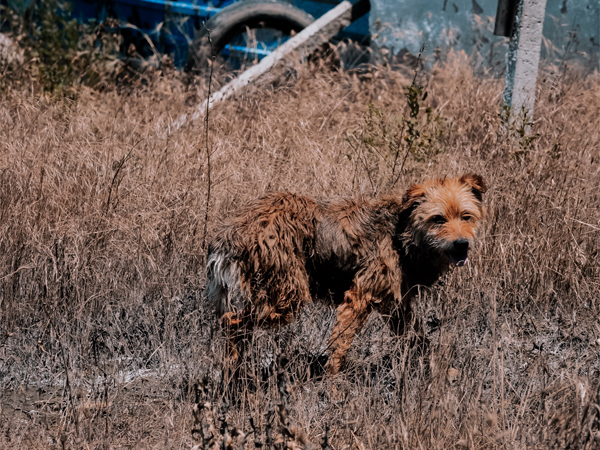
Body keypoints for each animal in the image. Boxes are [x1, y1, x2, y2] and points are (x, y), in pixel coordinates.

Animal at [204, 172, 486, 372]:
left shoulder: (396, 305)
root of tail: (233, 229)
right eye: (438, 219)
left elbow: (419, 339)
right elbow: (340, 344)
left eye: (466, 216)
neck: (404, 234)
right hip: (286, 298)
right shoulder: (359, 297)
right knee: (233, 321)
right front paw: (333, 385)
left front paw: (439, 369)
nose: (461, 244)